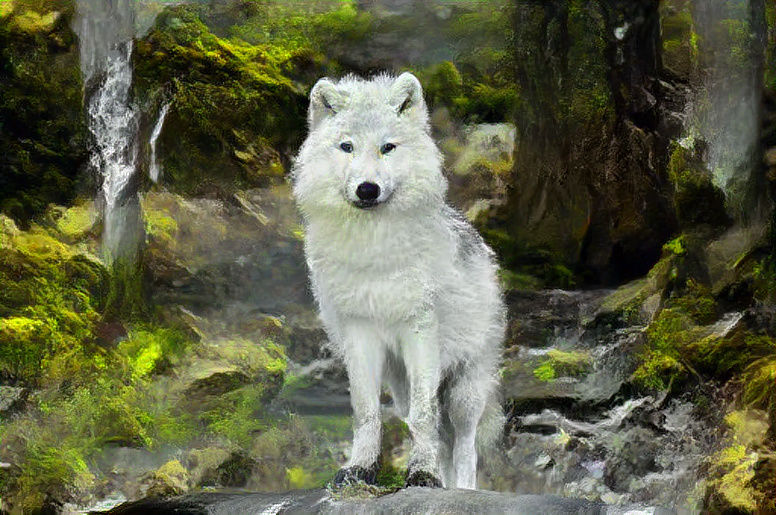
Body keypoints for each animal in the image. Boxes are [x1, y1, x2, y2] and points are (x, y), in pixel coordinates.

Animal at [292, 72, 505, 489]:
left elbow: (425, 416)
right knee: (439, 436)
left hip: (465, 388)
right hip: (402, 383)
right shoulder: (359, 332)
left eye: (387, 147)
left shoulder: (419, 328)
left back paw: (459, 488)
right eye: (347, 147)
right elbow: (366, 412)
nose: (367, 189)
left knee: (464, 445)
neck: (373, 249)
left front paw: (422, 474)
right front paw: (360, 469)